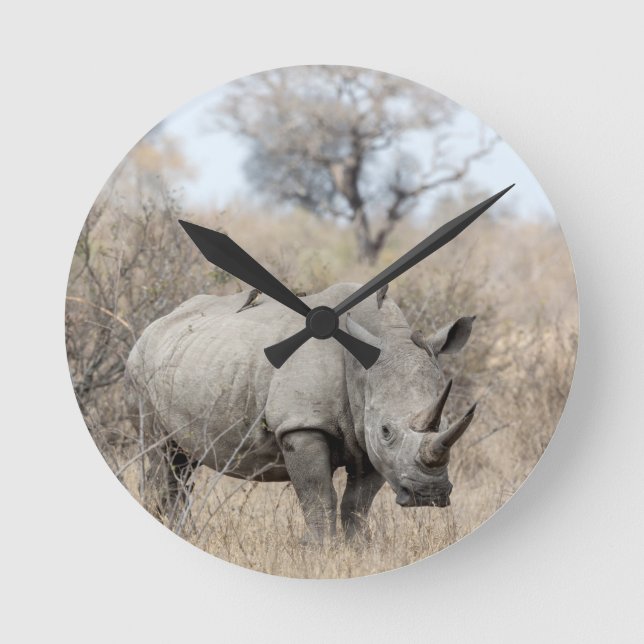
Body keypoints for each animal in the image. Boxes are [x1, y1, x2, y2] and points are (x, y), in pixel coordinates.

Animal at [125, 282, 476, 542]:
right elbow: (319, 498)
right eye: (387, 431)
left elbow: (357, 505)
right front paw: (323, 552)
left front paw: (358, 551)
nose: (428, 494)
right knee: (162, 455)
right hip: (140, 368)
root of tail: (155, 324)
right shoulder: (302, 425)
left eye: (447, 421)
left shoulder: (367, 438)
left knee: (183, 464)